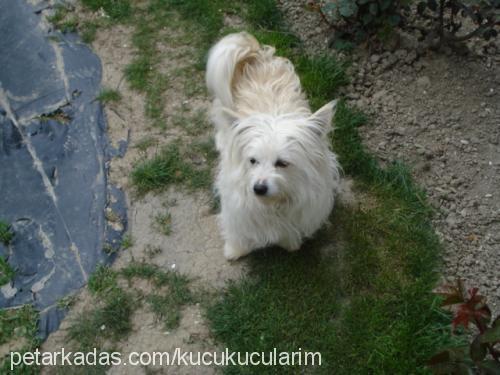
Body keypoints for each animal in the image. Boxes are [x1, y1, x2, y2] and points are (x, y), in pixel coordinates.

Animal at [205, 32, 342, 262]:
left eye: (283, 163)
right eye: (252, 161)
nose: (258, 188)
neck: (274, 204)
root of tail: (255, 54)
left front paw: (290, 245)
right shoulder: (236, 202)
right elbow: (237, 231)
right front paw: (235, 250)